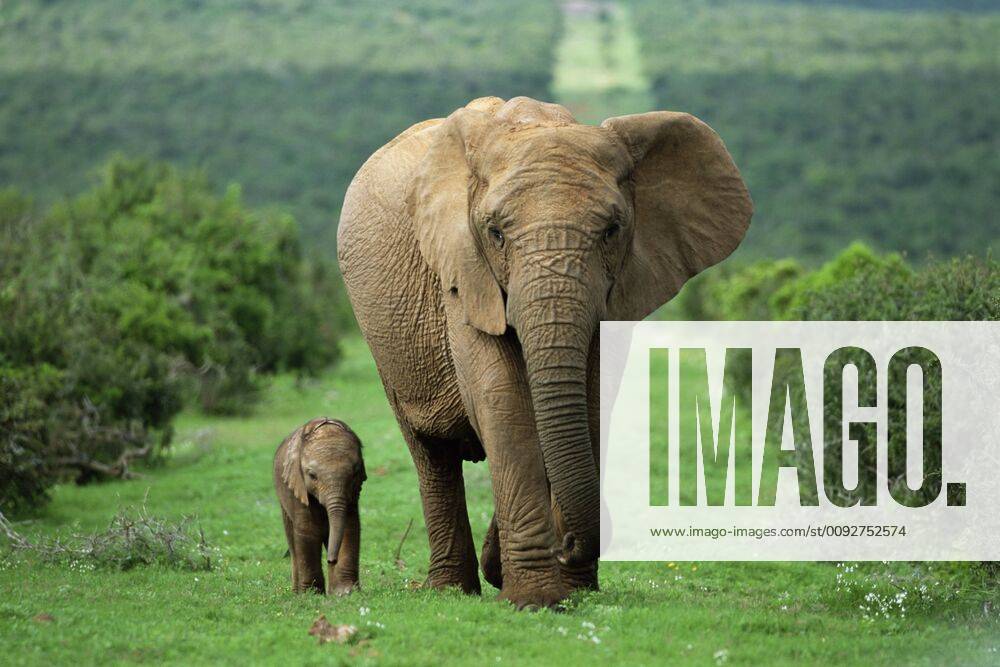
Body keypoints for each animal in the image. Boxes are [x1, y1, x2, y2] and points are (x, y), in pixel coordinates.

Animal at [274, 417, 366, 595]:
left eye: (355, 472)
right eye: (312, 476)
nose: (331, 560)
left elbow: (349, 526)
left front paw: (345, 592)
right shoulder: (297, 489)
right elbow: (308, 530)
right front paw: (311, 594)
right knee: (292, 541)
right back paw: (296, 593)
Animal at [337, 96, 752, 608]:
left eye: (612, 230)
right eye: (495, 233)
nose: (568, 545)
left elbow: (592, 402)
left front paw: (573, 591)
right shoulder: (463, 272)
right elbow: (501, 400)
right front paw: (533, 600)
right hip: (384, 344)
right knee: (431, 453)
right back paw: (452, 589)